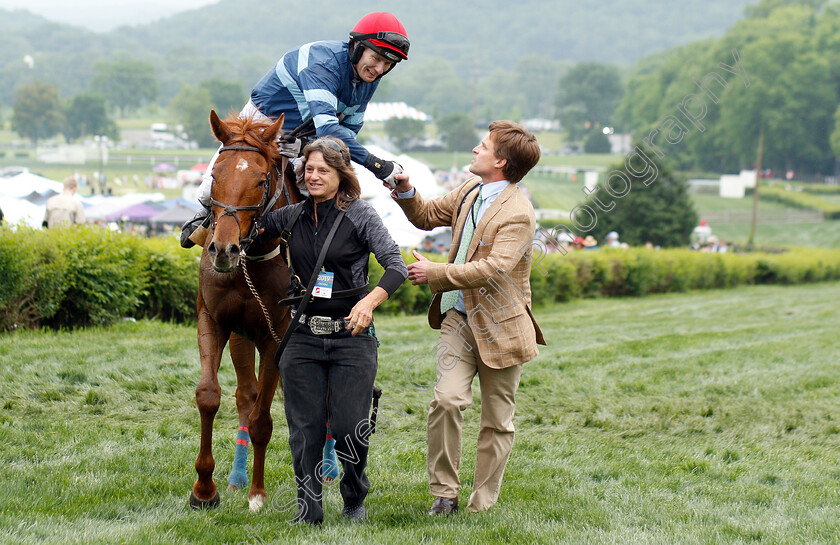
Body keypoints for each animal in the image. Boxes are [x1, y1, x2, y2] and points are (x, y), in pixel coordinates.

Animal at [189, 109, 302, 510]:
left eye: (260, 179)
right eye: (214, 177)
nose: (223, 249)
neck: (251, 260)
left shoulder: (277, 336)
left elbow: (263, 421)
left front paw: (258, 493)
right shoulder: (214, 320)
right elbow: (210, 396)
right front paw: (204, 489)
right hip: (242, 336)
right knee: (245, 396)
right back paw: (236, 477)